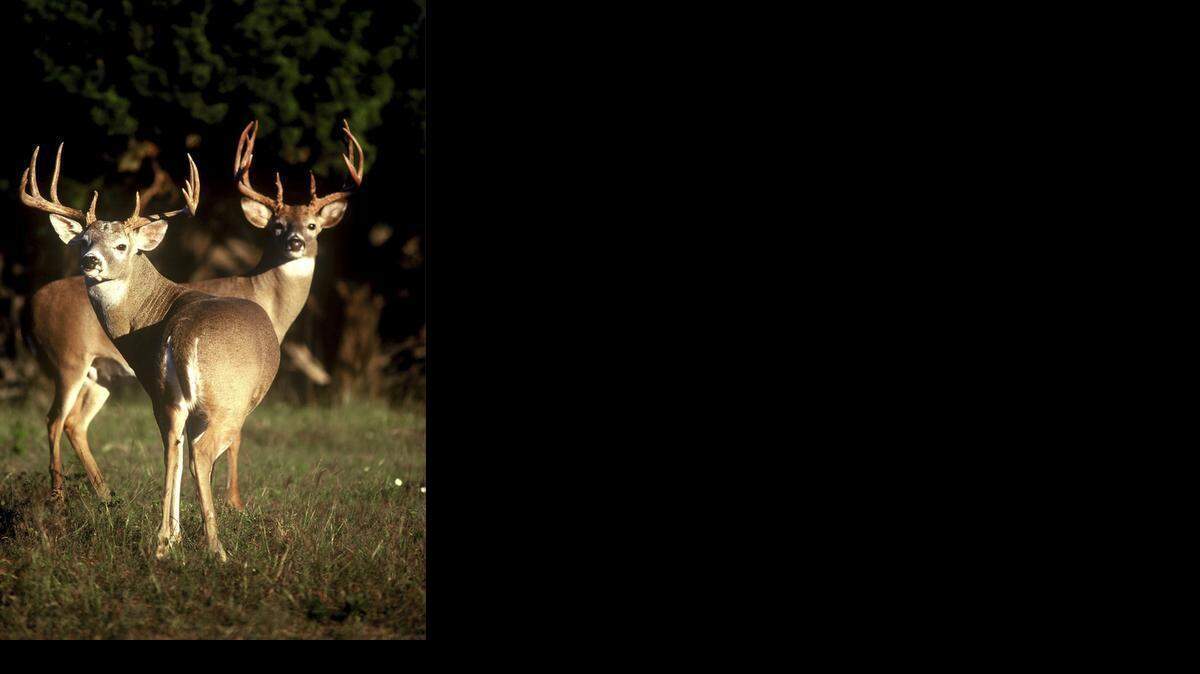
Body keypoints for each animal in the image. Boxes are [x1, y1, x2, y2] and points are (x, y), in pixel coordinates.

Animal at [20, 144, 280, 562]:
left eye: (121, 245)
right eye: (83, 241)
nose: (89, 261)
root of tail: (184, 335)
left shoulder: (162, 393)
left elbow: (172, 450)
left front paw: (171, 538)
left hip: (164, 393)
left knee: (172, 448)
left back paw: (162, 540)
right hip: (227, 401)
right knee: (199, 453)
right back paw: (217, 549)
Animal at [25, 120, 365, 510]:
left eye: (312, 226)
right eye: (276, 226)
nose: (295, 242)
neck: (264, 297)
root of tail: (31, 305)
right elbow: (235, 440)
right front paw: (235, 502)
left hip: (100, 375)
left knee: (75, 424)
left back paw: (105, 494)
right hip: (67, 359)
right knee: (54, 419)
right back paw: (59, 497)